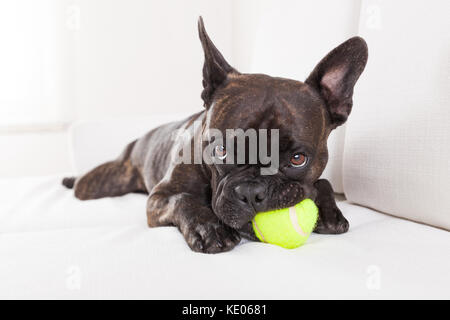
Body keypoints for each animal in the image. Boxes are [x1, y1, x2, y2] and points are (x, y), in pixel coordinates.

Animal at [63, 18, 368, 252]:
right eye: (220, 151)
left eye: (298, 159)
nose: (252, 192)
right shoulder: (159, 197)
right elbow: (183, 200)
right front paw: (209, 229)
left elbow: (324, 182)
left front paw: (330, 212)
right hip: (101, 183)